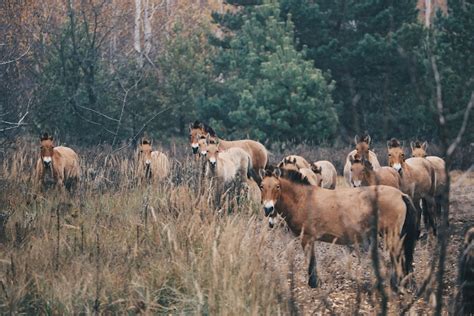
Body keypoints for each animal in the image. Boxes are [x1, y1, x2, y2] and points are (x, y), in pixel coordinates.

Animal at [260, 168, 418, 288]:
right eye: (262, 186)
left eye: (277, 186)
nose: (268, 209)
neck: (303, 198)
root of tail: (401, 195)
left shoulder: (306, 238)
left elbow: (310, 262)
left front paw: (313, 283)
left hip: (391, 236)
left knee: (397, 258)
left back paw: (396, 285)